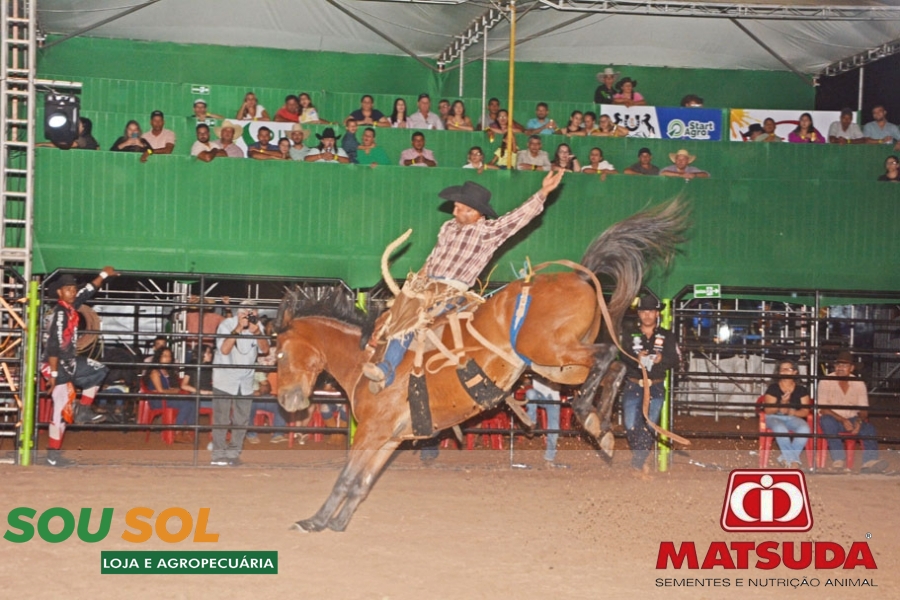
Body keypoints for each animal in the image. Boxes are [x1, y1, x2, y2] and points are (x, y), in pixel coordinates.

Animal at [274, 199, 688, 532]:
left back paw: (589, 414)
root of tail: (578, 275)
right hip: (557, 365)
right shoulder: (389, 438)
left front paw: (314, 522)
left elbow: (346, 478)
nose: (287, 400)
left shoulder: (372, 432)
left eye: (278, 352)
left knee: (606, 358)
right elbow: (361, 483)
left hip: (552, 350)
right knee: (614, 368)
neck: (364, 360)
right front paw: (336, 523)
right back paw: (598, 425)